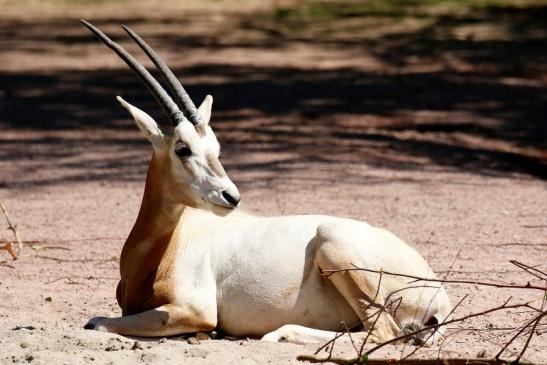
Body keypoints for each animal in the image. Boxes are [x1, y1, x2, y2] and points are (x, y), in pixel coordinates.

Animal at [80, 19, 450, 344]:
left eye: (215, 147)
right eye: (183, 148)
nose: (230, 196)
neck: (162, 250)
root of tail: (439, 296)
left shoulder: (194, 310)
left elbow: (95, 322)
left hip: (334, 244)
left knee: (382, 331)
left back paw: (277, 334)